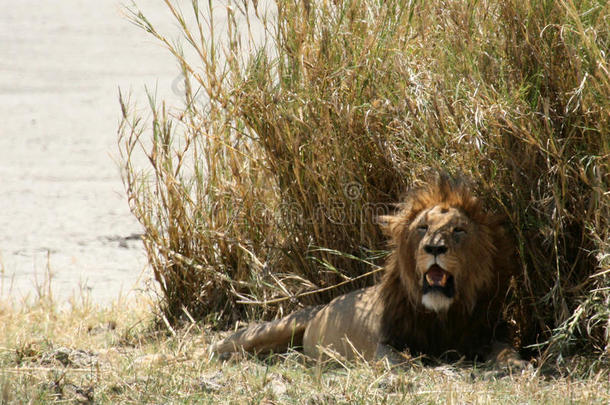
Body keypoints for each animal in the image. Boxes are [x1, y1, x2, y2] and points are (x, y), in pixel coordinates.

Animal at [210, 172, 524, 368]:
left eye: (458, 230)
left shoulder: (478, 333)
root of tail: (320, 308)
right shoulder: (383, 339)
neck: (442, 315)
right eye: (423, 227)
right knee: (229, 343)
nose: (434, 248)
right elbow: (395, 357)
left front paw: (514, 363)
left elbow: (503, 346)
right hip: (267, 330)